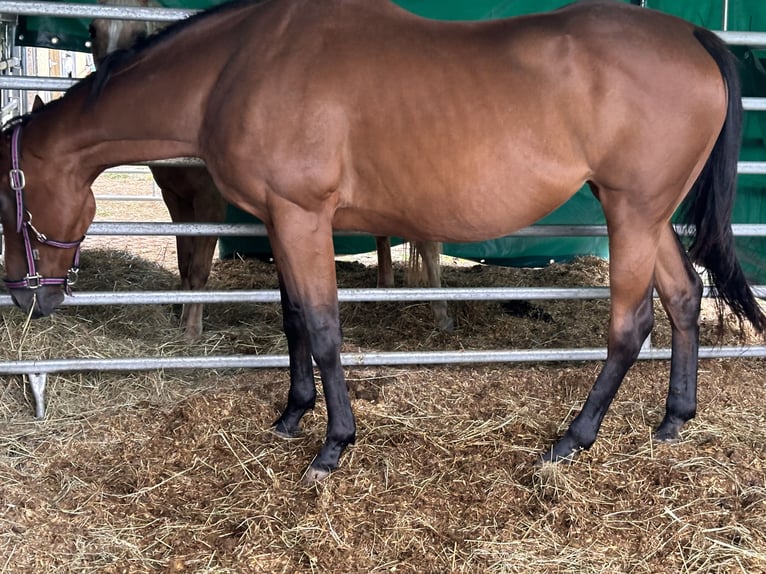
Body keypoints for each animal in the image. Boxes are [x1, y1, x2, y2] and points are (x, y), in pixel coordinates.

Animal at [88, 0, 452, 338]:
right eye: (93, 30)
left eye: (141, 35)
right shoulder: (175, 199)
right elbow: (184, 261)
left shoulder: (209, 202)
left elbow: (200, 267)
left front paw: (191, 331)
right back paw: (384, 288)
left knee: (427, 246)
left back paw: (441, 313)